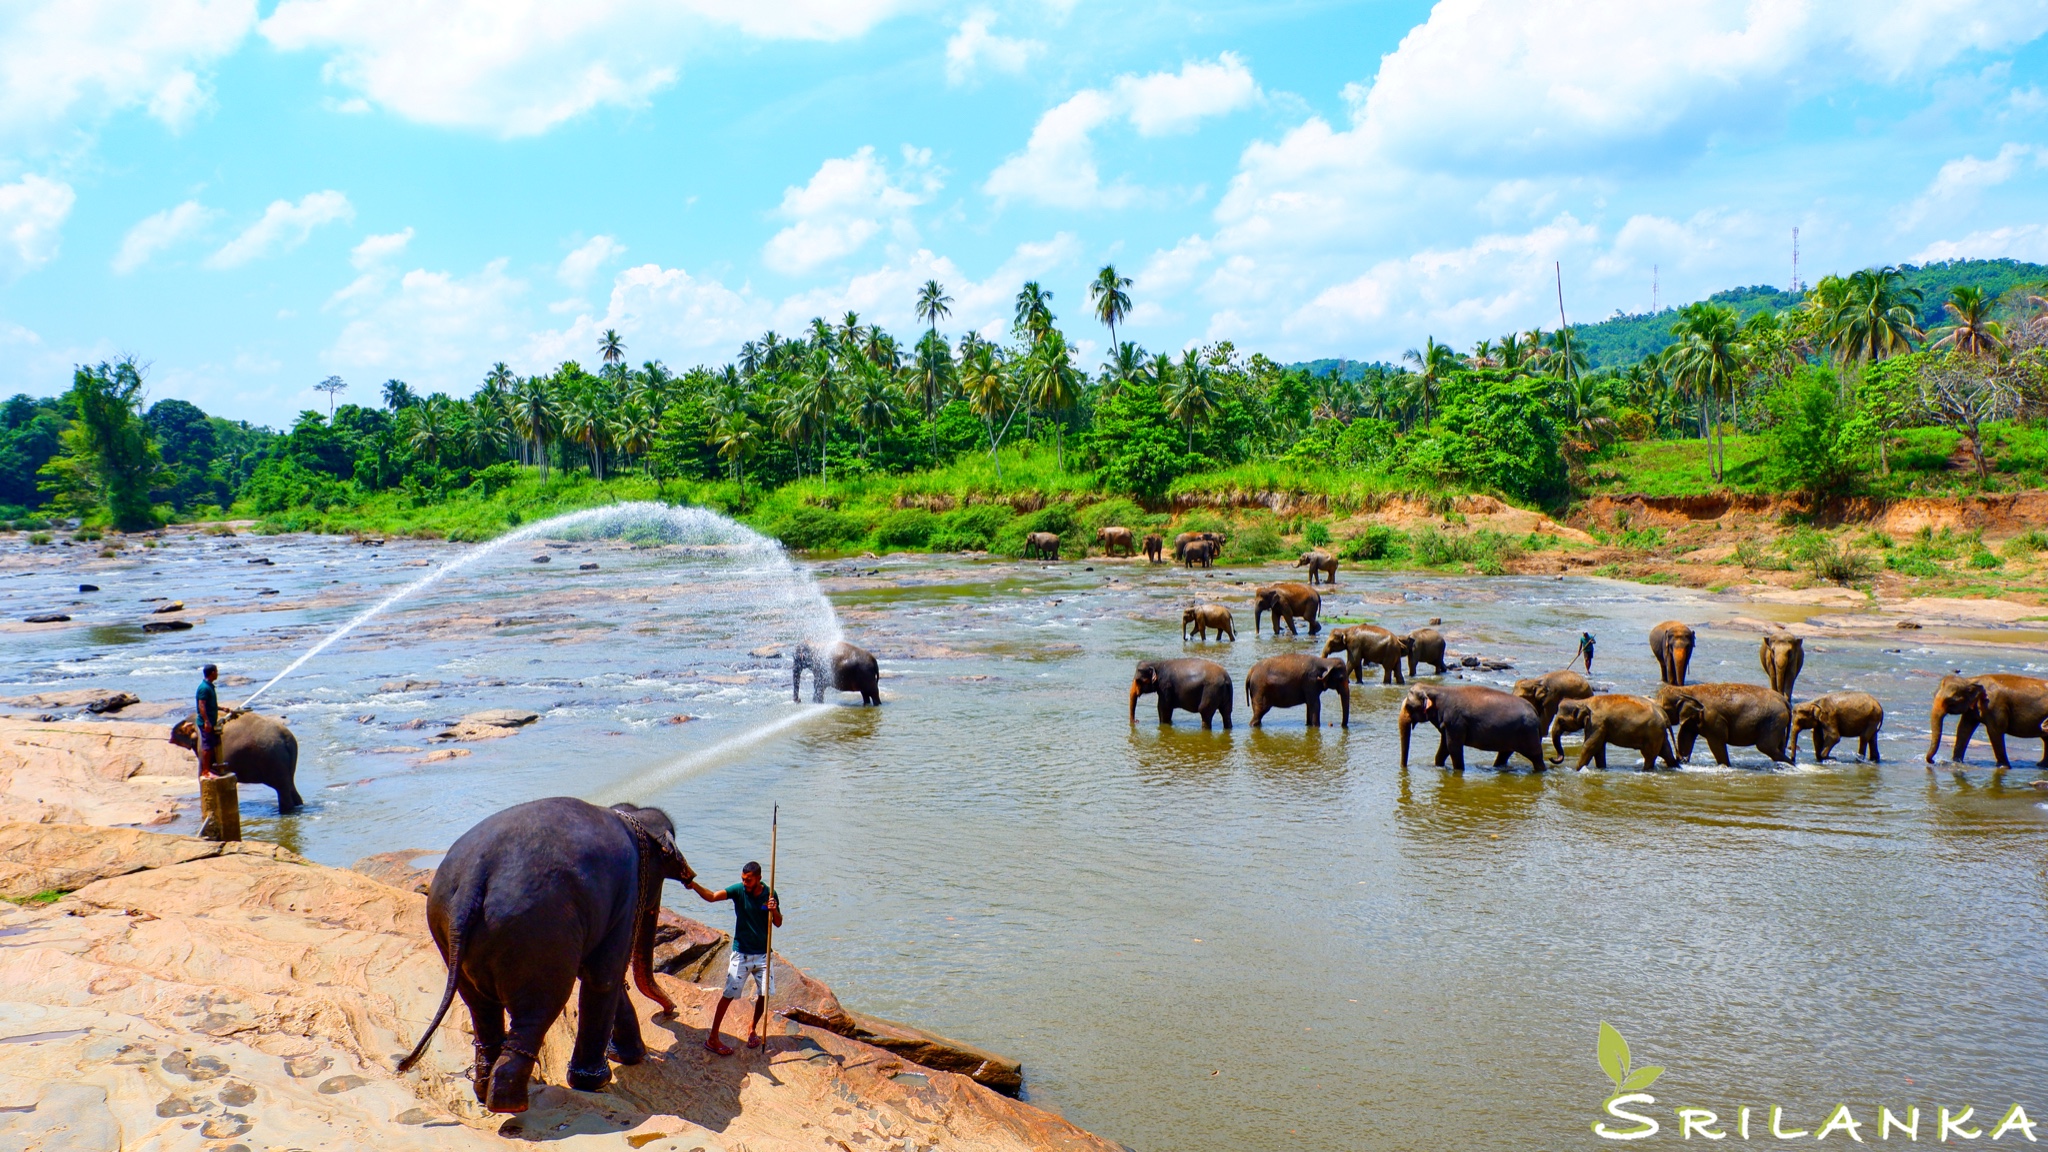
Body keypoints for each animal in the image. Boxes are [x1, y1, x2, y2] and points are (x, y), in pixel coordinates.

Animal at [391, 795, 696, 1106]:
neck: (630, 816)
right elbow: (605, 974)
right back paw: (511, 1102)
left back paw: (484, 1091)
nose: (670, 1011)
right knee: (540, 1009)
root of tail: (471, 881)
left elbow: (596, 972)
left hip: (445, 928)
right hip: (536, 928)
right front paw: (601, 1078)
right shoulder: (626, 893)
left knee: (480, 1007)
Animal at [1400, 680, 1540, 770]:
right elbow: (1444, 748)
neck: (1435, 688)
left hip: (1528, 733)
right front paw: (1438, 766)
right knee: (1504, 754)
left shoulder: (1455, 722)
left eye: (1409, 706)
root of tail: (1534, 709)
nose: (1405, 768)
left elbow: (1453, 747)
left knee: (1536, 756)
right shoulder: (1448, 725)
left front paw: (1459, 770)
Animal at [1548, 688, 1679, 770]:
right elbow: (1599, 749)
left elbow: (1589, 746)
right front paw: (1601, 768)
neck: (1583, 701)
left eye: (1561, 721)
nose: (1551, 758)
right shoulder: (1599, 726)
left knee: (1649, 756)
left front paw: (1576, 770)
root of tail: (1664, 715)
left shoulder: (1596, 723)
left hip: (1653, 733)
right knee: (1666, 753)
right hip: (1659, 734)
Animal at [1662, 680, 1794, 762]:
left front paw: (1725, 766)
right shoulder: (1693, 718)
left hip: (1774, 720)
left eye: (1665, 709)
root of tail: (1784, 701)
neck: (1686, 690)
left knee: (1765, 747)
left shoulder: (1712, 718)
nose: (1680, 758)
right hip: (1779, 723)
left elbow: (1717, 743)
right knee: (1777, 748)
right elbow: (1685, 738)